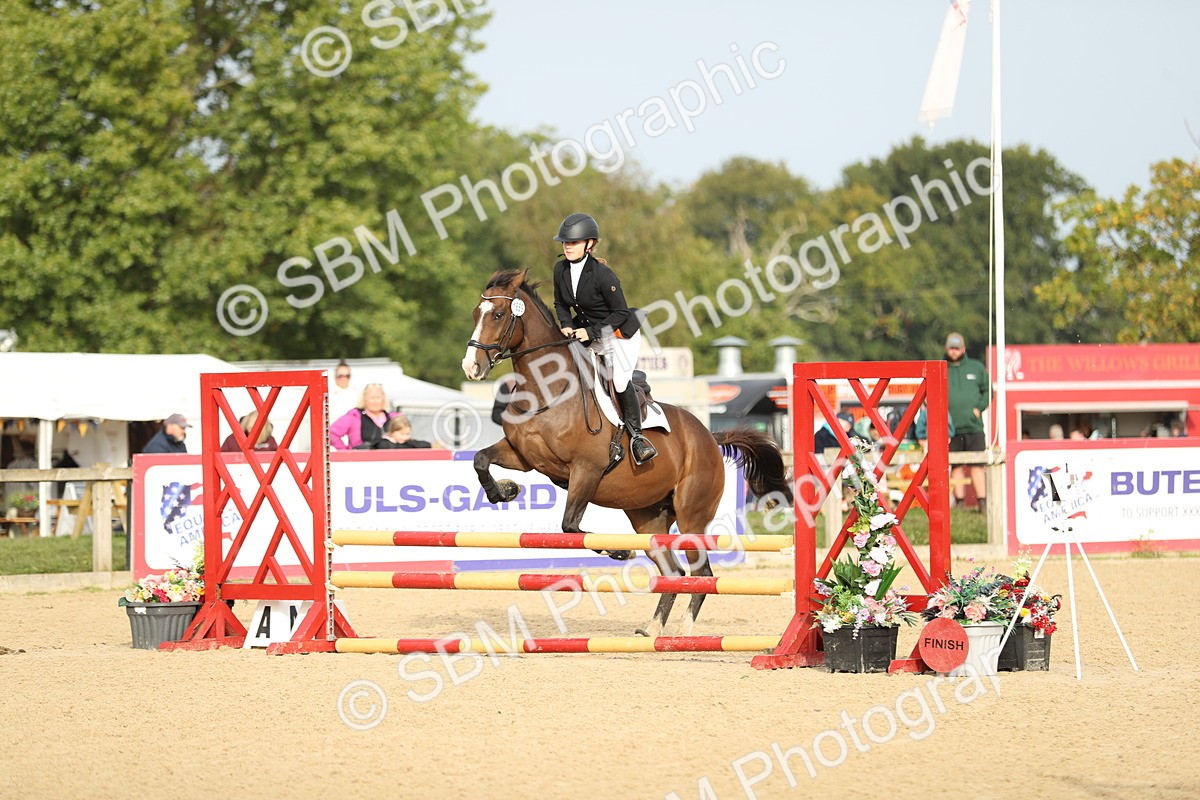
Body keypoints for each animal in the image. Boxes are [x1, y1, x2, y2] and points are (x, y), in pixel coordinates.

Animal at [460, 268, 794, 637]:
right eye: (475, 314)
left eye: (498, 315)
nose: (471, 367)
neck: (548, 391)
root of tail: (709, 436)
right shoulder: (524, 456)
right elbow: (480, 460)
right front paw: (504, 491)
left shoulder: (586, 469)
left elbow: (570, 525)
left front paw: (619, 552)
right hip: (647, 516)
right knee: (674, 572)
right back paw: (653, 630)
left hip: (692, 515)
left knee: (701, 574)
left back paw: (684, 632)